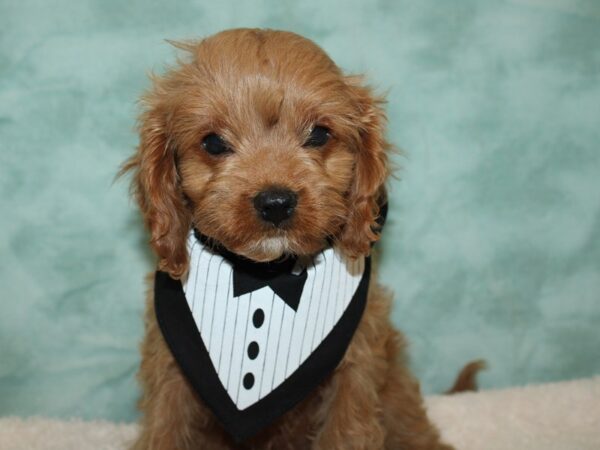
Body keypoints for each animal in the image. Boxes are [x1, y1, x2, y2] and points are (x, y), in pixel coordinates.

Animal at [124, 27, 452, 450]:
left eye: (319, 134)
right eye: (213, 143)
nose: (276, 202)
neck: (264, 279)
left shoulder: (355, 368)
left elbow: (346, 433)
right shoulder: (170, 371)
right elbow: (164, 431)